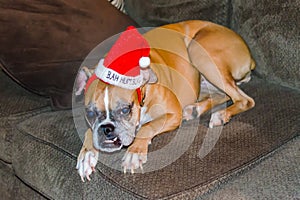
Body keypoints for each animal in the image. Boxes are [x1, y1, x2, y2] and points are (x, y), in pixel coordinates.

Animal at [75, 19, 255, 180]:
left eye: (125, 110)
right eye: (89, 114)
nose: (107, 129)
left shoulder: (173, 114)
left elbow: (146, 127)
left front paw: (134, 152)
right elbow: (89, 130)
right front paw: (87, 155)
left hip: (199, 52)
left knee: (245, 100)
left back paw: (220, 115)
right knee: (223, 95)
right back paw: (195, 110)